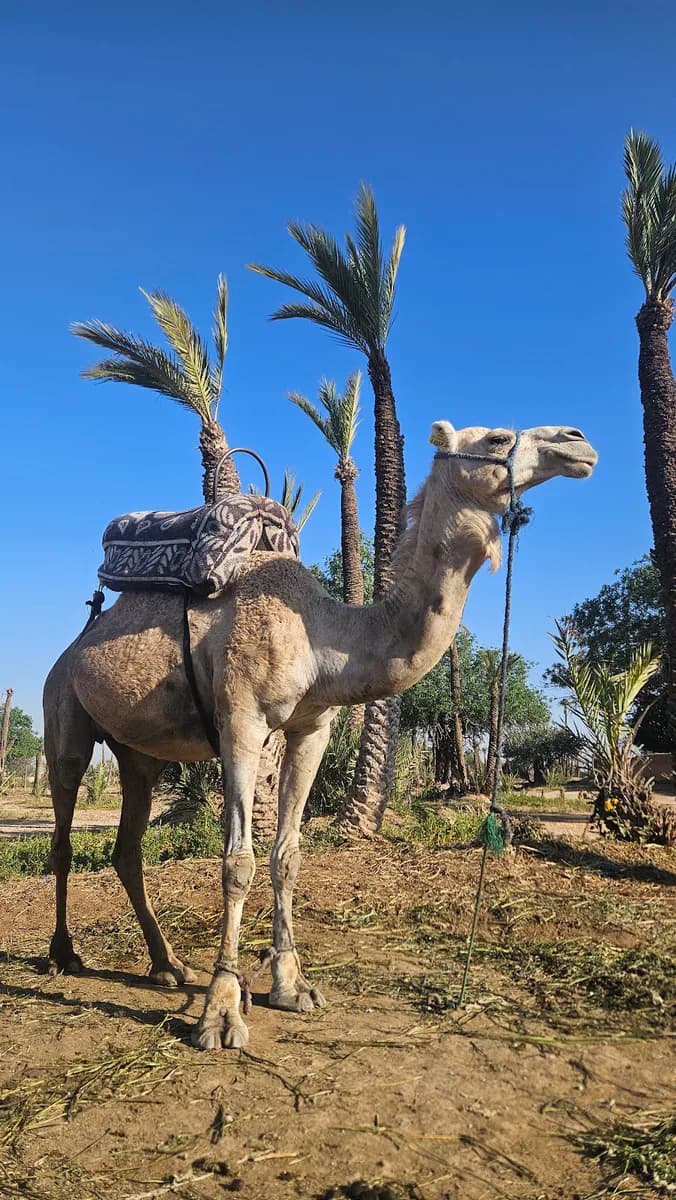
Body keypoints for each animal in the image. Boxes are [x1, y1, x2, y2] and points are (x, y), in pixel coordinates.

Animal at [43, 421, 597, 1050]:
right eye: (498, 439)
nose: (578, 442)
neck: (324, 637)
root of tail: (78, 642)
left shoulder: (312, 728)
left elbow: (288, 854)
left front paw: (291, 987)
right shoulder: (242, 720)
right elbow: (238, 862)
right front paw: (222, 1011)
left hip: (140, 755)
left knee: (127, 846)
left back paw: (167, 965)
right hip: (63, 712)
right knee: (63, 828)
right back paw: (64, 954)